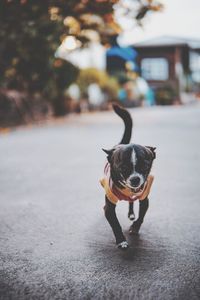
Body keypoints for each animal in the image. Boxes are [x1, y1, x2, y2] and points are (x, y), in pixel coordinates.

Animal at [101, 104, 155, 250]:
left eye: (145, 166)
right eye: (123, 168)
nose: (135, 179)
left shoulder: (144, 200)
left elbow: (141, 216)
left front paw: (135, 228)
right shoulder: (109, 207)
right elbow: (115, 224)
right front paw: (121, 241)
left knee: (131, 202)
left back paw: (131, 213)